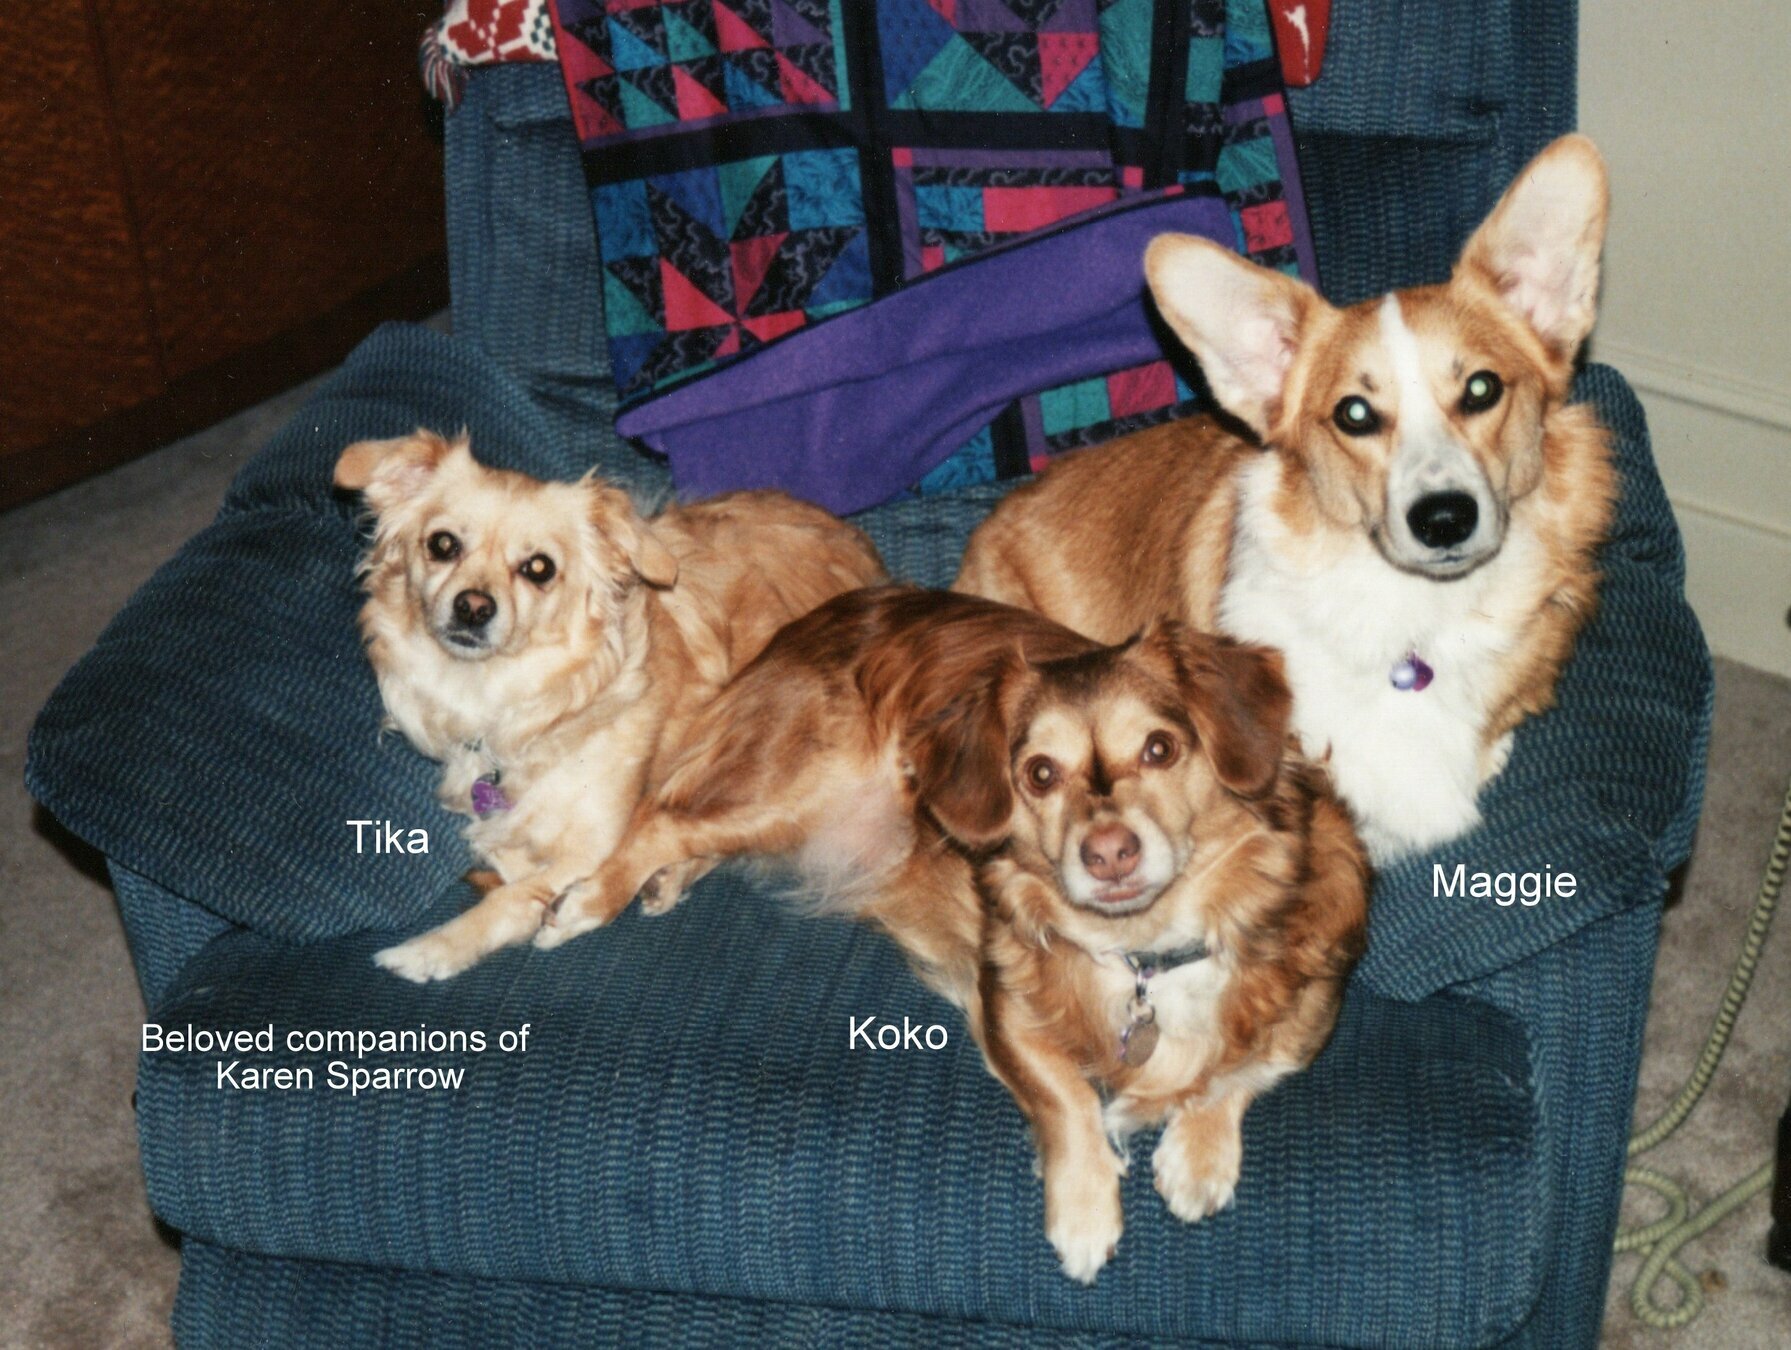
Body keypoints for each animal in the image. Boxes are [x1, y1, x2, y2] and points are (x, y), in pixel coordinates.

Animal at [333, 431, 886, 980]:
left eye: (539, 569)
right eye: (442, 544)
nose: (473, 606)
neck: (508, 700)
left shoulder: (598, 842)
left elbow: (519, 895)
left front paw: (434, 949)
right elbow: (509, 855)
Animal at [534, 587, 1369, 1281]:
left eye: (1161, 749)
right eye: (1038, 774)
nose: (1108, 852)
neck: (1149, 952)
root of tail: (831, 613)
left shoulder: (1314, 1002)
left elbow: (1244, 1068)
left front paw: (1198, 1157)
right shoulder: (1005, 1007)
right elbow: (1069, 1098)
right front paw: (1084, 1214)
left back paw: (668, 881)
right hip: (808, 787)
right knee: (663, 816)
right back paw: (590, 899)